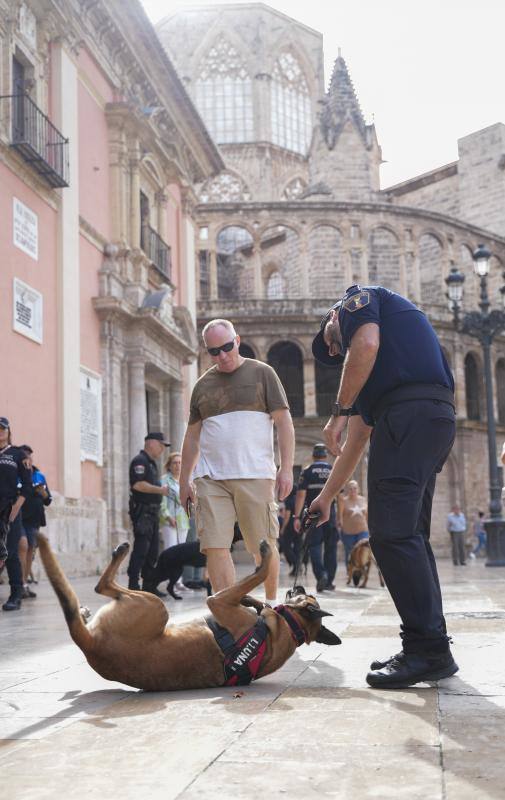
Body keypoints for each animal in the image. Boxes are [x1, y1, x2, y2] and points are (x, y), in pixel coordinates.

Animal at [37, 536, 340, 692]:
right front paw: (254, 601)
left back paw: (120, 551)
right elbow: (250, 592)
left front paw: (264, 565)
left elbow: (259, 574)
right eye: (305, 594)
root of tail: (91, 646)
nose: (300, 585)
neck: (291, 627)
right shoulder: (225, 600)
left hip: (153, 606)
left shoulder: (217, 602)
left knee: (103, 585)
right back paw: (84, 611)